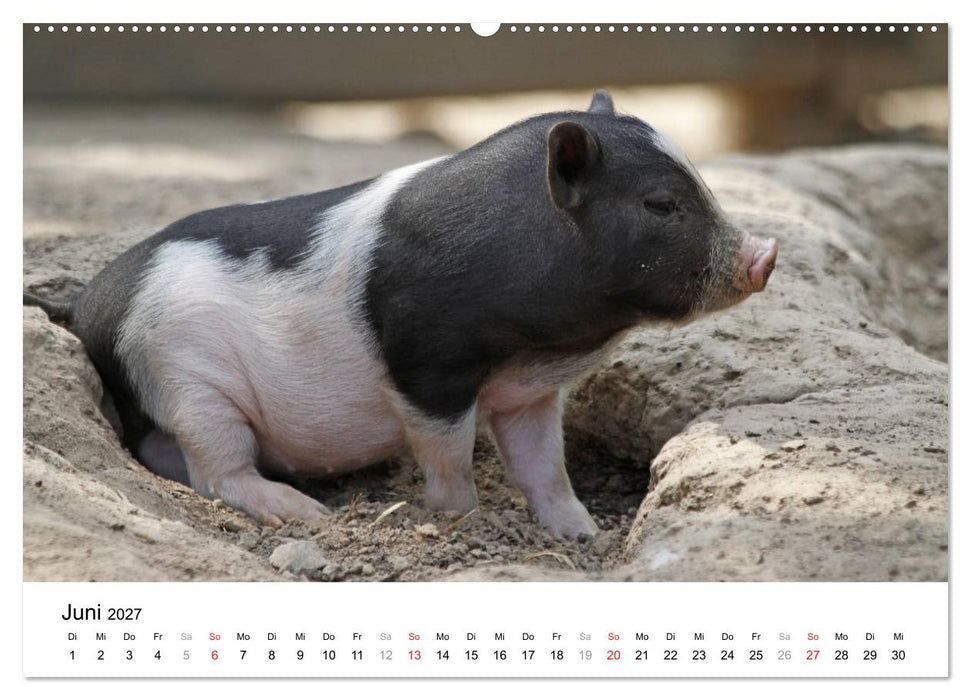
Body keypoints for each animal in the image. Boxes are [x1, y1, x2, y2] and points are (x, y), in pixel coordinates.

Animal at [24, 90, 777, 538]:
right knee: (214, 469)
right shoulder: (428, 362)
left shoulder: (530, 392)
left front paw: (581, 533)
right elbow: (447, 455)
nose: (765, 254)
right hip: (185, 377)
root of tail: (85, 304)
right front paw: (461, 520)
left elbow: (545, 464)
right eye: (660, 204)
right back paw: (306, 511)